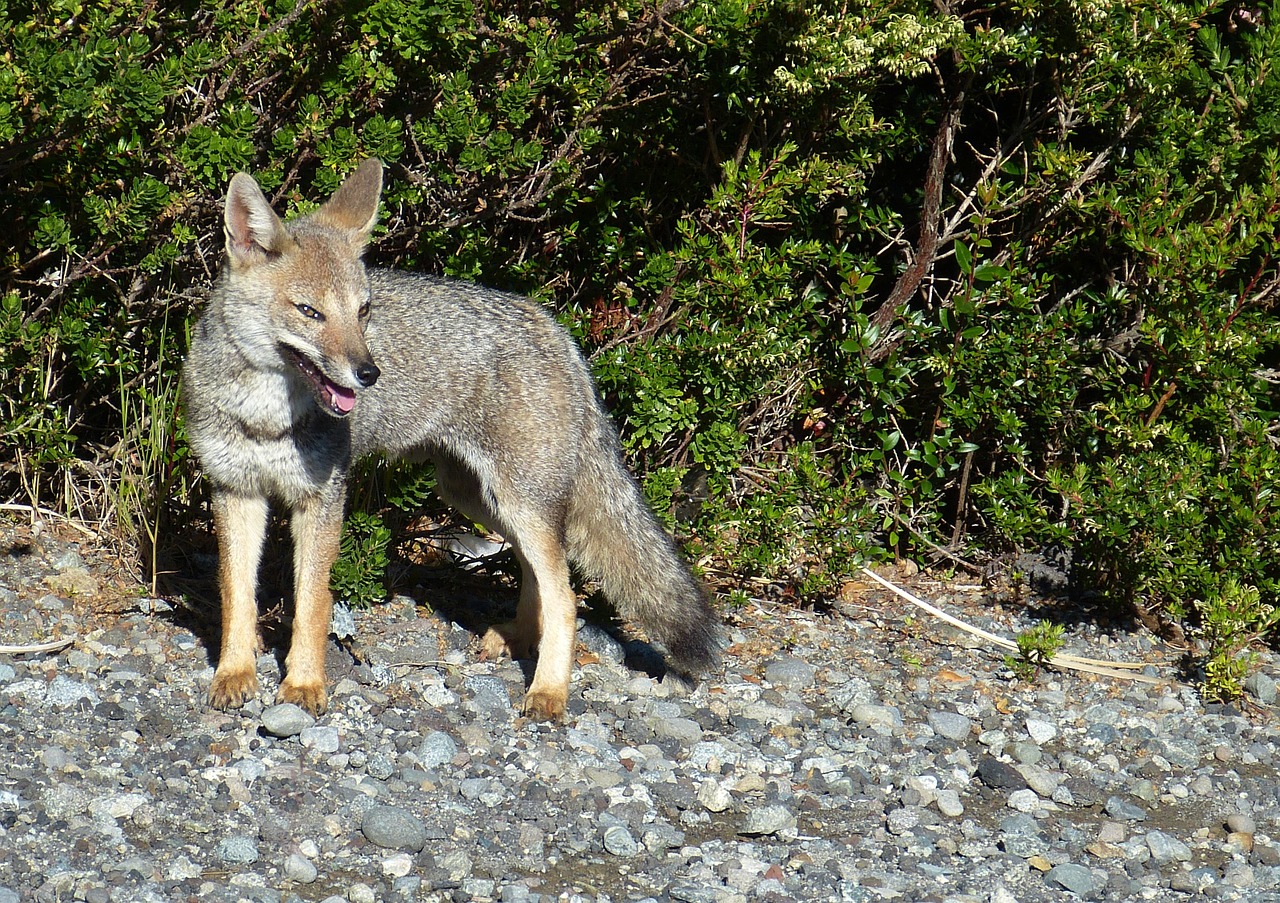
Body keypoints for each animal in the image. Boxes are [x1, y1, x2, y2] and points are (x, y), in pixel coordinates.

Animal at [180, 156, 721, 717]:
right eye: (310, 312)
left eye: (364, 311)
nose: (369, 374)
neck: (265, 418)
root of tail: (558, 332)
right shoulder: (235, 492)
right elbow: (236, 597)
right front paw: (234, 673)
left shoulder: (323, 500)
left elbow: (312, 603)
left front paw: (304, 684)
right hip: (481, 500)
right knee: (541, 573)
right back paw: (518, 637)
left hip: (517, 503)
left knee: (566, 596)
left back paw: (548, 690)